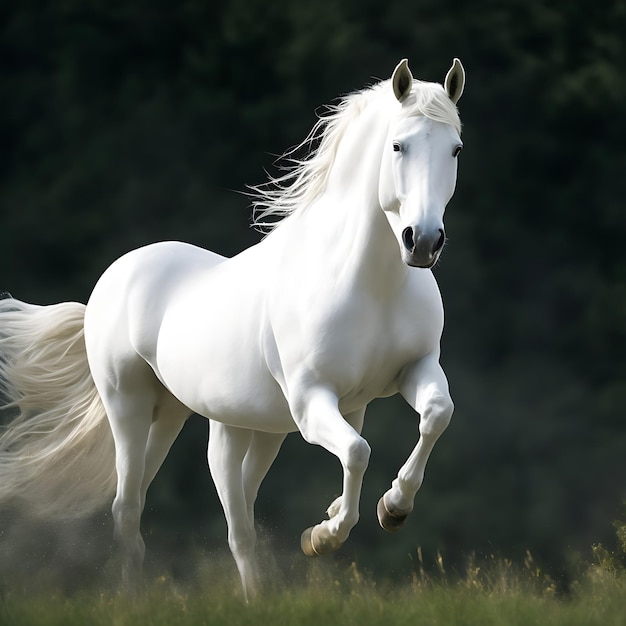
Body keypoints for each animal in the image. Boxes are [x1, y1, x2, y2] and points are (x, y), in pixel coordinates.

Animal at [0, 59, 464, 600]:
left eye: (455, 148)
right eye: (397, 145)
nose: (423, 241)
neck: (368, 282)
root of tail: (112, 279)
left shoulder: (414, 370)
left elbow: (436, 416)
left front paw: (393, 508)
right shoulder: (311, 400)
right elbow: (356, 450)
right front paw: (323, 536)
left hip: (205, 420)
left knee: (223, 509)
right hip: (130, 407)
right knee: (142, 509)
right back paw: (144, 599)